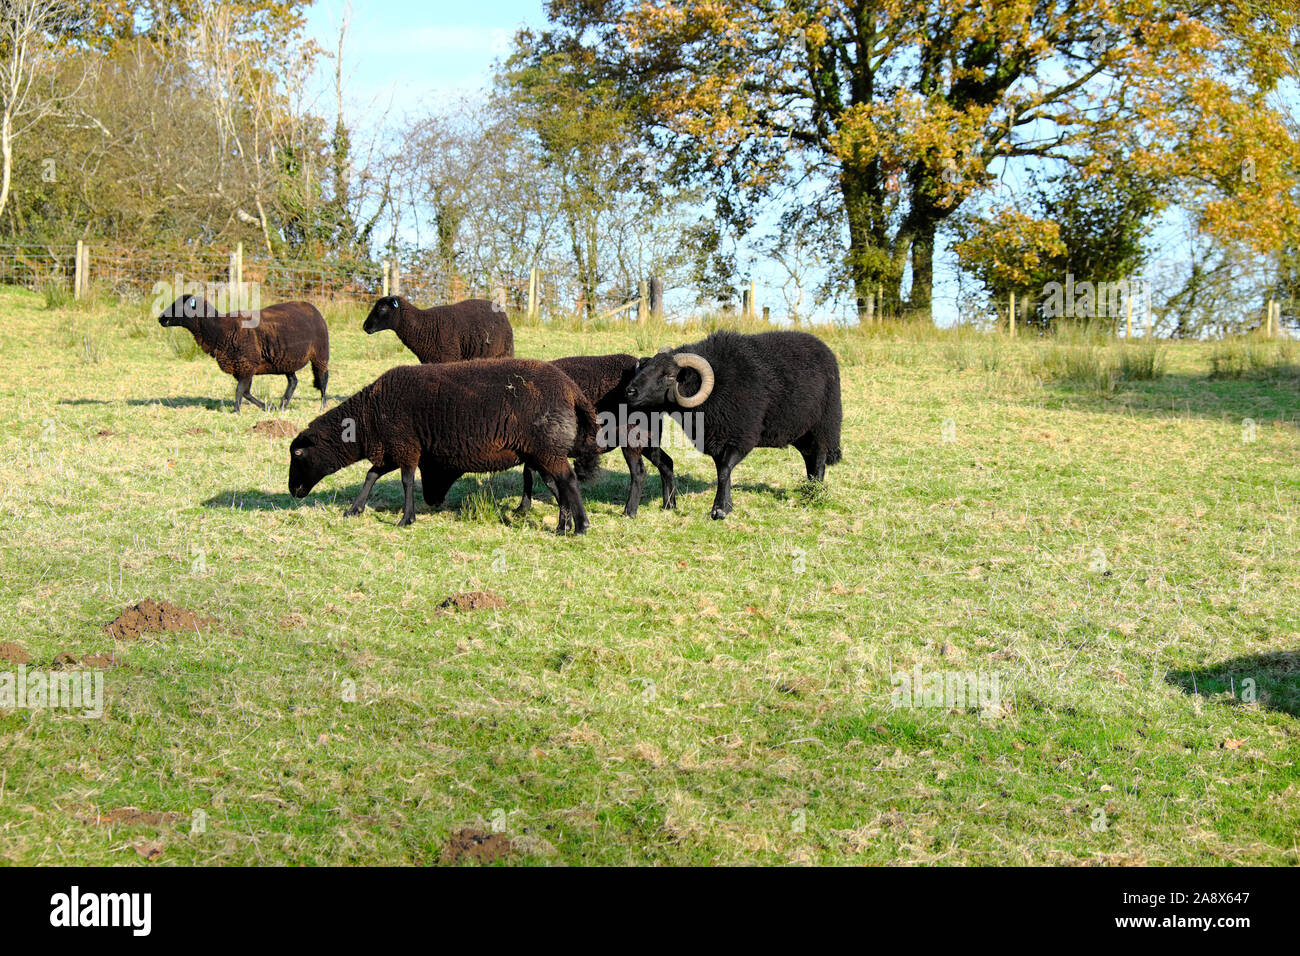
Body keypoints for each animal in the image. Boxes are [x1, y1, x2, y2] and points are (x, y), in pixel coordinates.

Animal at [157, 291, 330, 411]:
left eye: (180, 306)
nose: (160, 319)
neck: (220, 329)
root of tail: (312, 307)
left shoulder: (246, 364)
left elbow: (240, 390)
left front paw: (236, 411)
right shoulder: (240, 367)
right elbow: (245, 392)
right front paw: (267, 407)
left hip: (320, 354)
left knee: (322, 379)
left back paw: (322, 406)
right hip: (286, 360)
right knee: (293, 382)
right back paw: (282, 406)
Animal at [287, 356, 595, 530]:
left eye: (299, 452)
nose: (293, 491)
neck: (367, 417)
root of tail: (572, 390)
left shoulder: (405, 445)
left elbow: (406, 481)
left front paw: (406, 519)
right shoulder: (393, 448)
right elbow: (371, 475)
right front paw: (354, 510)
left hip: (547, 449)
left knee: (567, 481)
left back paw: (580, 525)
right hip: (542, 451)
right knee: (557, 485)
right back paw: (563, 525)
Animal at [517, 351, 681, 515]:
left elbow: (542, 478)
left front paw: (525, 507)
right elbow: (530, 473)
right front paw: (523, 508)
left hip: (631, 435)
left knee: (639, 472)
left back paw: (629, 512)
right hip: (648, 437)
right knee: (666, 463)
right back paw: (669, 505)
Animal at [626, 332, 842, 520]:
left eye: (670, 376)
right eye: (645, 368)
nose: (630, 391)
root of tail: (823, 347)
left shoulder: (740, 438)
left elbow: (724, 471)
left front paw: (719, 510)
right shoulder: (716, 439)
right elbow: (722, 471)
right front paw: (727, 505)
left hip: (823, 426)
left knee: (819, 458)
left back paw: (814, 494)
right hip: (801, 432)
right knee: (809, 457)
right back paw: (808, 488)